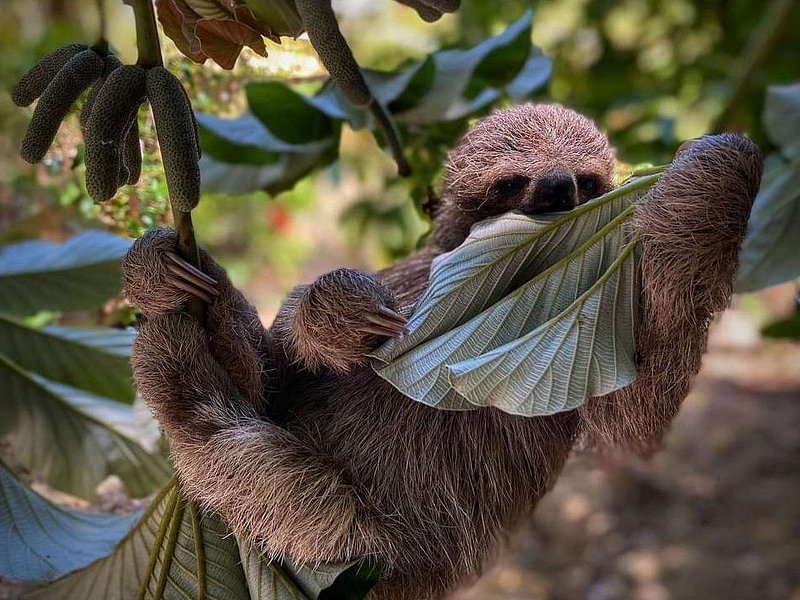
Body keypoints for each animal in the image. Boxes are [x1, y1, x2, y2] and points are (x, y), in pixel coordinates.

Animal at [123, 103, 762, 600]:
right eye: (512, 181)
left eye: (585, 180)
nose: (557, 186)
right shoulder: (413, 275)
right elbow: (280, 373)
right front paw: (336, 314)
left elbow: (635, 415)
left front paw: (719, 171)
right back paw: (175, 281)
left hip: (357, 553)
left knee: (233, 448)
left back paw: (174, 358)